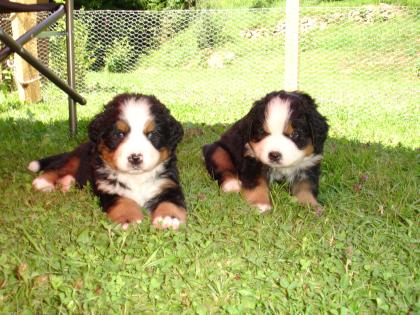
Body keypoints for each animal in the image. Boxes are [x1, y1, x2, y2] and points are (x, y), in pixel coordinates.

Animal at [28, 93, 186, 230]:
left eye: (152, 134)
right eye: (119, 134)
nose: (135, 157)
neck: (136, 178)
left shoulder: (168, 184)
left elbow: (170, 202)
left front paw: (168, 218)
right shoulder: (109, 188)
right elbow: (123, 201)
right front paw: (128, 218)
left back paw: (67, 183)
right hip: (76, 158)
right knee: (58, 168)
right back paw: (43, 182)